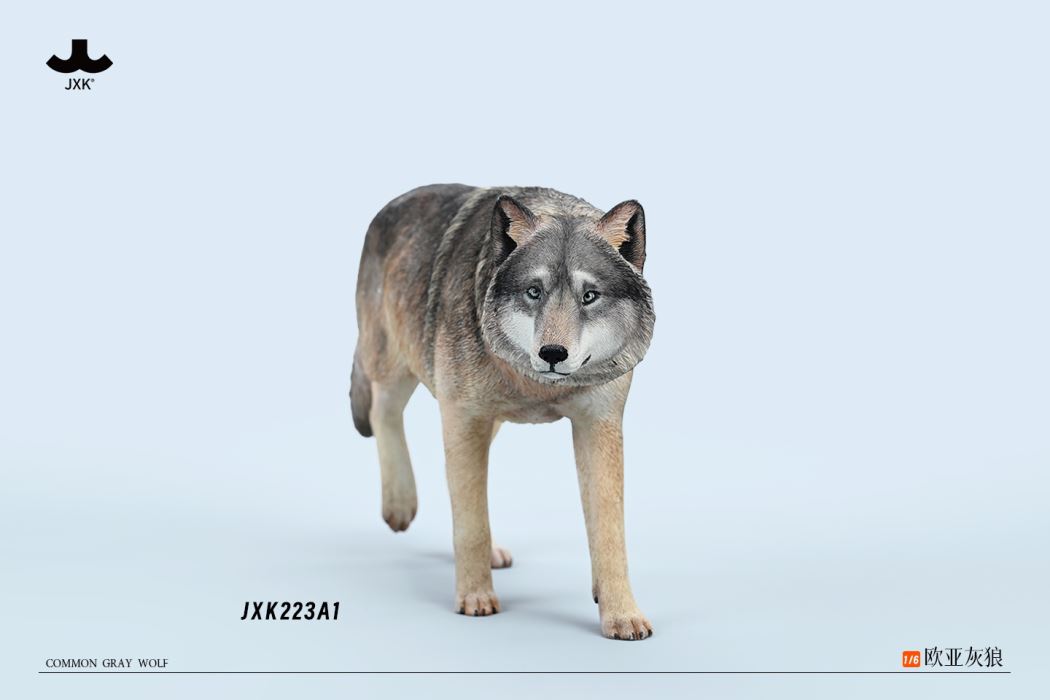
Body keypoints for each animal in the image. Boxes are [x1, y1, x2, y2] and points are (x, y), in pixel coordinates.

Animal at [350, 184, 655, 639]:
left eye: (589, 296)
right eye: (534, 291)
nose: (552, 353)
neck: (534, 385)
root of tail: (390, 206)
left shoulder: (598, 425)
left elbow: (608, 531)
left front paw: (621, 613)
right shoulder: (462, 416)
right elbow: (472, 523)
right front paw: (475, 597)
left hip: (482, 422)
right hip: (395, 362)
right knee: (383, 409)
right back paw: (399, 506)